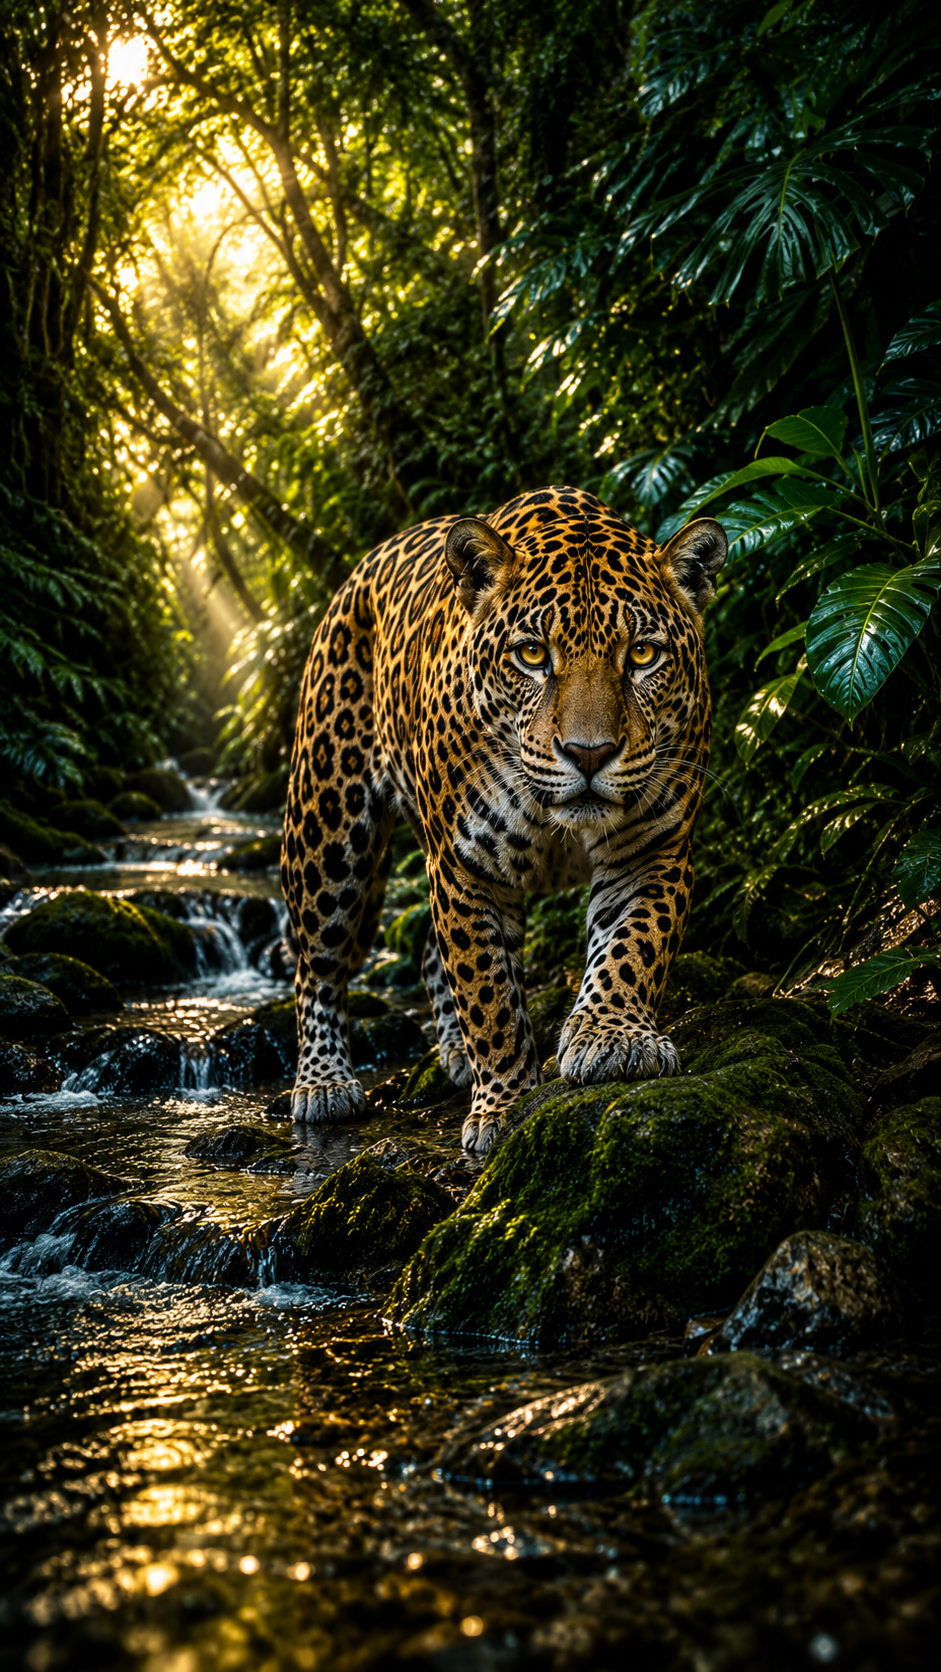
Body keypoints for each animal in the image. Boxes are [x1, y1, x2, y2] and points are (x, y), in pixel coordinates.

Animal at [281, 485, 727, 1155]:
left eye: (643, 654)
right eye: (533, 655)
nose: (589, 753)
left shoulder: (651, 849)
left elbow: (633, 946)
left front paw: (612, 1038)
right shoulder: (467, 869)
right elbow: (488, 994)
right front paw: (506, 1105)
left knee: (425, 953)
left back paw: (452, 1054)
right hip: (326, 829)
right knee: (317, 966)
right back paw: (323, 1082)